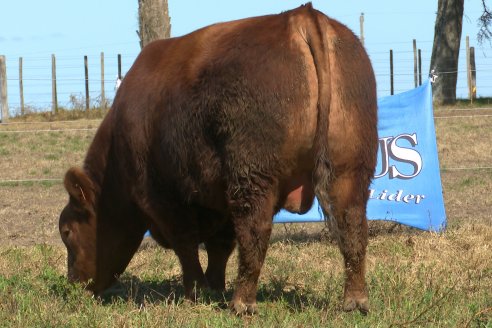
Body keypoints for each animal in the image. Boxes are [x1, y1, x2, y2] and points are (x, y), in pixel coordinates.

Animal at [59, 3, 378, 316]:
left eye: (67, 231)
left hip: (253, 175)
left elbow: (187, 245)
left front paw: (196, 292)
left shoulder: (162, 198)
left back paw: (242, 302)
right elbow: (219, 247)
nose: (74, 284)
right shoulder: (217, 200)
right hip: (349, 169)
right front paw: (214, 288)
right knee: (352, 225)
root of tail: (300, 17)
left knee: (255, 230)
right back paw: (355, 300)